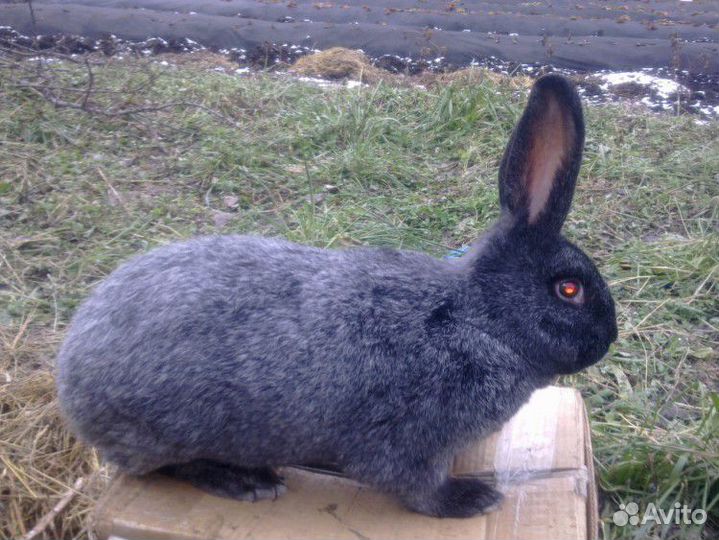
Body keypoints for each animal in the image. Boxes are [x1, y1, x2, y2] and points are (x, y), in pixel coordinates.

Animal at [56, 74, 617, 518]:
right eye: (569, 290)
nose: (608, 338)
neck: (477, 319)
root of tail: (69, 376)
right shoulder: (410, 439)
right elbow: (416, 487)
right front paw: (469, 500)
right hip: (164, 431)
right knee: (164, 467)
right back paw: (247, 481)